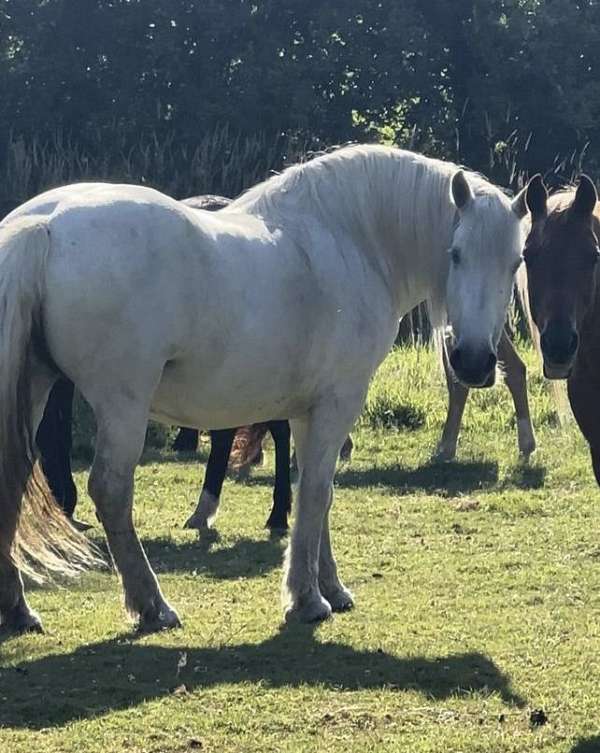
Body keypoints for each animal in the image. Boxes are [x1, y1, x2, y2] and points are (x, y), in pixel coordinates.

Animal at [0, 145, 531, 634]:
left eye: (515, 261)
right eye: (455, 253)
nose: (475, 362)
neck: (352, 240)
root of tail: (43, 227)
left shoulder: (307, 410)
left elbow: (314, 491)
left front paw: (330, 586)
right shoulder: (338, 402)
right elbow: (316, 491)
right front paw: (307, 600)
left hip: (37, 388)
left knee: (15, 477)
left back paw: (18, 609)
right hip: (122, 405)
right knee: (111, 490)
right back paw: (152, 605)